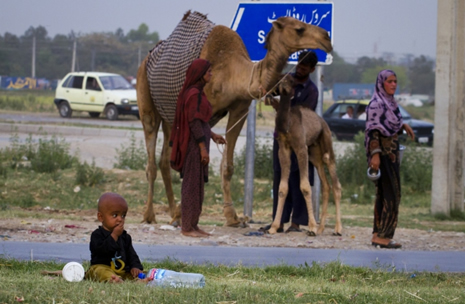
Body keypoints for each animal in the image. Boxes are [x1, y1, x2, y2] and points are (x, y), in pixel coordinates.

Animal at [136, 12, 332, 226]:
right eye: (299, 29)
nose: (327, 38)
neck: (231, 71)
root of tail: (146, 58)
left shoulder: (240, 109)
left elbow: (228, 166)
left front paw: (232, 216)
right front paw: (188, 213)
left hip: (170, 117)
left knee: (164, 160)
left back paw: (173, 213)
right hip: (146, 100)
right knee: (151, 159)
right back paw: (149, 215)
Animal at [268, 75, 340, 236]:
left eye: (289, 80)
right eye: (280, 78)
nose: (282, 86)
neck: (288, 124)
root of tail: (323, 122)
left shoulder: (301, 147)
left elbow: (305, 187)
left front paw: (311, 226)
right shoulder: (283, 149)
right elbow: (282, 188)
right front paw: (274, 227)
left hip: (326, 142)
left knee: (335, 181)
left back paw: (337, 229)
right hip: (314, 154)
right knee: (326, 185)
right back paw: (321, 228)